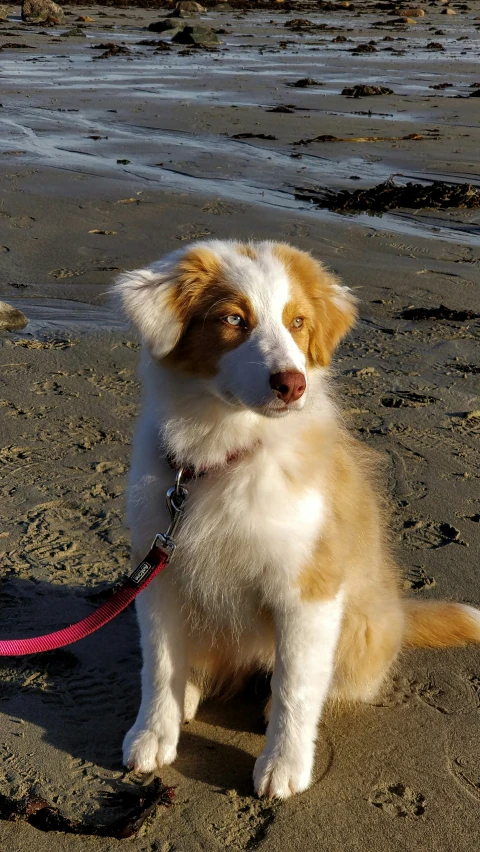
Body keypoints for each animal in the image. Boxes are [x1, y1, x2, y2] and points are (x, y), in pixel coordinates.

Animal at [115, 240, 480, 800]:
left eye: (298, 322)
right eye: (234, 318)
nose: (292, 384)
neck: (226, 452)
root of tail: (398, 612)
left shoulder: (308, 590)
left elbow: (296, 687)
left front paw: (284, 765)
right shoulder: (160, 573)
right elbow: (158, 663)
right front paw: (154, 733)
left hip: (361, 626)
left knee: (328, 682)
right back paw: (190, 692)